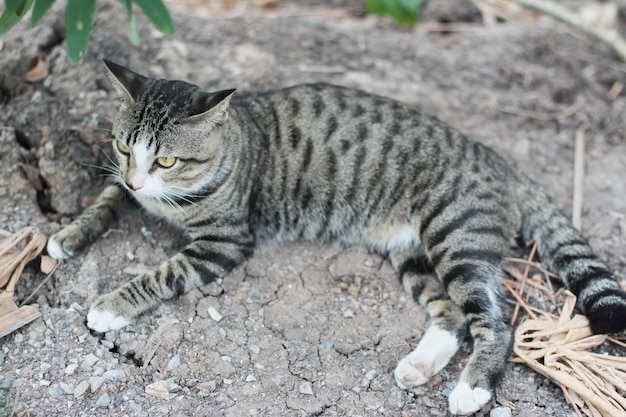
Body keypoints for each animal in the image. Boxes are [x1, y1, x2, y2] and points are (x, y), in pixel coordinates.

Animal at [46, 60, 624, 414]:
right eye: (124, 147)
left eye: (166, 159)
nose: (137, 178)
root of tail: (491, 155)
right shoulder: (126, 187)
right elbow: (104, 202)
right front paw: (66, 236)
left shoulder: (223, 242)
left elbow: (162, 273)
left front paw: (109, 306)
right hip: (412, 252)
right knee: (453, 316)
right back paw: (419, 367)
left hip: (456, 237)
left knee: (497, 322)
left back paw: (471, 388)